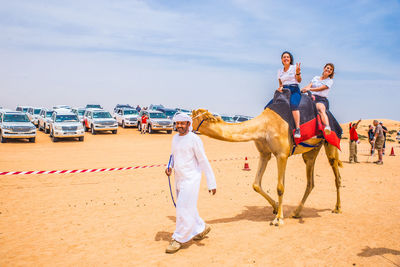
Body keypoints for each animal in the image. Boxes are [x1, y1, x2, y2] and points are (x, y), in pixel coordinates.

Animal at [192, 108, 342, 226]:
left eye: (198, 117)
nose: (186, 126)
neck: (263, 127)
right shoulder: (264, 154)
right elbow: (256, 184)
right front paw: (276, 207)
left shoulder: (282, 154)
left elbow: (280, 187)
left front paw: (278, 219)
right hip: (311, 151)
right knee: (310, 181)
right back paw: (296, 212)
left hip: (330, 143)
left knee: (337, 175)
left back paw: (337, 208)